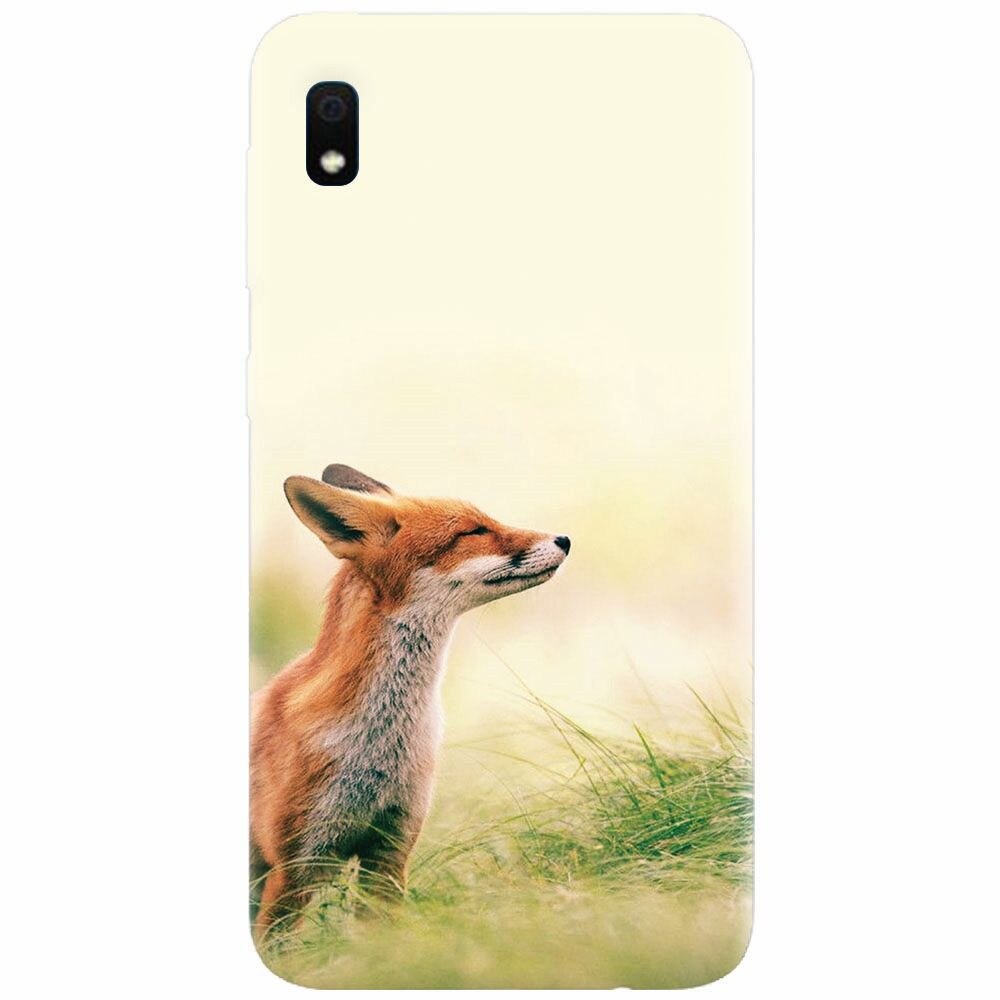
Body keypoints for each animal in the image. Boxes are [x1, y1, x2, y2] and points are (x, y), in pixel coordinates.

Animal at [250, 463, 570, 939]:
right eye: (473, 531)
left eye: (486, 520)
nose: (565, 539)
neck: (381, 743)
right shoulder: (295, 865)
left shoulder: (390, 849)